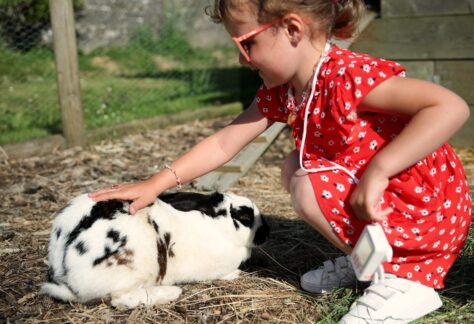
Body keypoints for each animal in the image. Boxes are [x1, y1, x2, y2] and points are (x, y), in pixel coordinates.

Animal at [42, 191, 268, 308]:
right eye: (244, 217)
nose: (266, 233)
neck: (220, 226)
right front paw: (235, 274)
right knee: (120, 298)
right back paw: (170, 292)